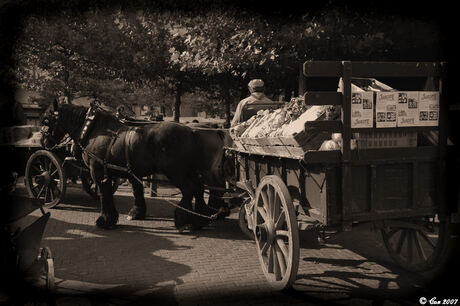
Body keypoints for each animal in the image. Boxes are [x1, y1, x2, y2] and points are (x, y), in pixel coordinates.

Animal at [40, 99, 229, 231]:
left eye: (47, 120)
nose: (43, 141)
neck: (94, 130)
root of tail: (192, 131)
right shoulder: (122, 172)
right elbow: (131, 190)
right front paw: (128, 214)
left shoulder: (98, 171)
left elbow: (104, 194)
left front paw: (105, 220)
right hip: (189, 171)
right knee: (199, 189)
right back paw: (200, 218)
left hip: (176, 172)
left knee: (190, 190)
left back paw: (184, 220)